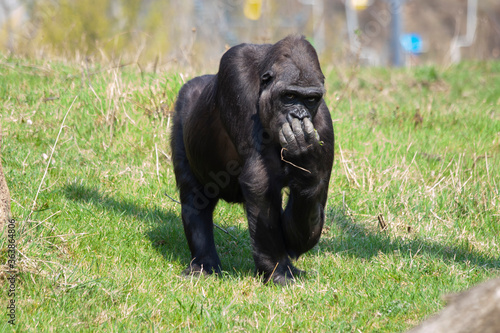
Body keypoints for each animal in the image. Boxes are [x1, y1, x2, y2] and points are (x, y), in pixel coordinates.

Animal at [170, 33, 334, 284]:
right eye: (289, 96)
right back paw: (203, 263)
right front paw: (277, 269)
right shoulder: (235, 73)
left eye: (311, 99)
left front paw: (306, 162)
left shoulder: (325, 127)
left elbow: (310, 202)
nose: (298, 115)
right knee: (194, 197)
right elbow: (260, 181)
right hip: (183, 104)